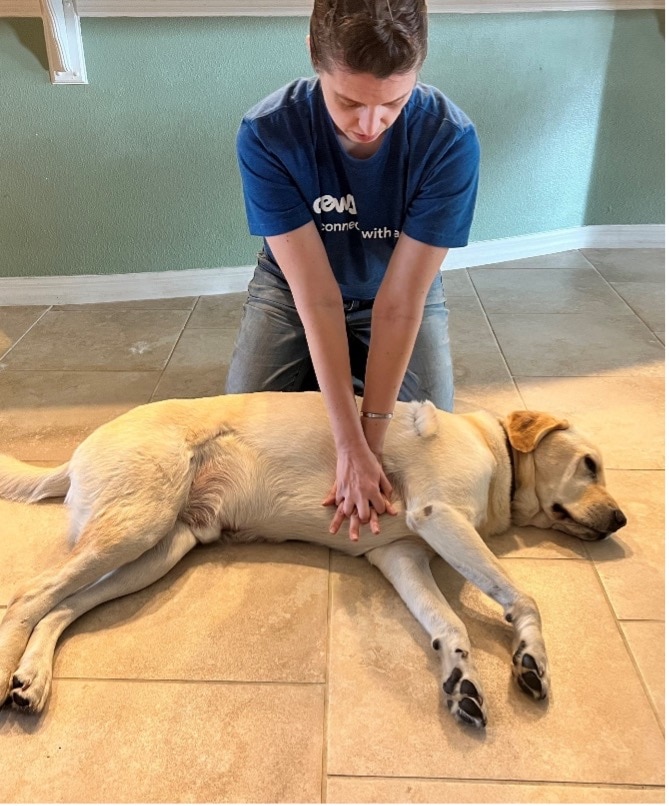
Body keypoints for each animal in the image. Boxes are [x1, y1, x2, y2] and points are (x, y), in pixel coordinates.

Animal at [0, 392, 628, 732]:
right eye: (590, 464)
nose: (623, 520)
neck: (497, 454)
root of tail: (77, 449)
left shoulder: (401, 556)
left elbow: (449, 626)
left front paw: (461, 680)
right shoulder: (439, 516)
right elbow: (522, 596)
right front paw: (531, 658)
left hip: (157, 550)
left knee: (61, 608)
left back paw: (31, 680)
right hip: (136, 527)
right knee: (29, 597)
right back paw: (12, 666)